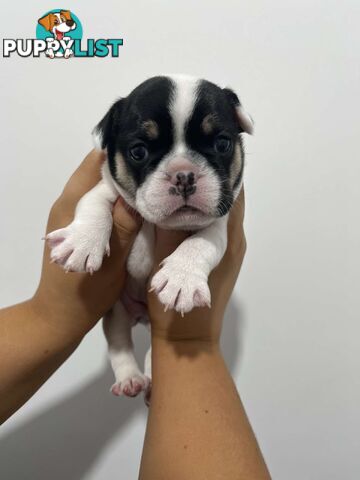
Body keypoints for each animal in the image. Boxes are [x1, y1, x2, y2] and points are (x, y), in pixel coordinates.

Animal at [45, 74, 253, 398]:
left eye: (222, 143)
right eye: (138, 151)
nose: (184, 175)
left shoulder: (221, 221)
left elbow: (201, 244)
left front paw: (181, 278)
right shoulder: (105, 189)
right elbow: (93, 207)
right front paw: (82, 243)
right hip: (117, 312)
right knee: (119, 343)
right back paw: (130, 379)